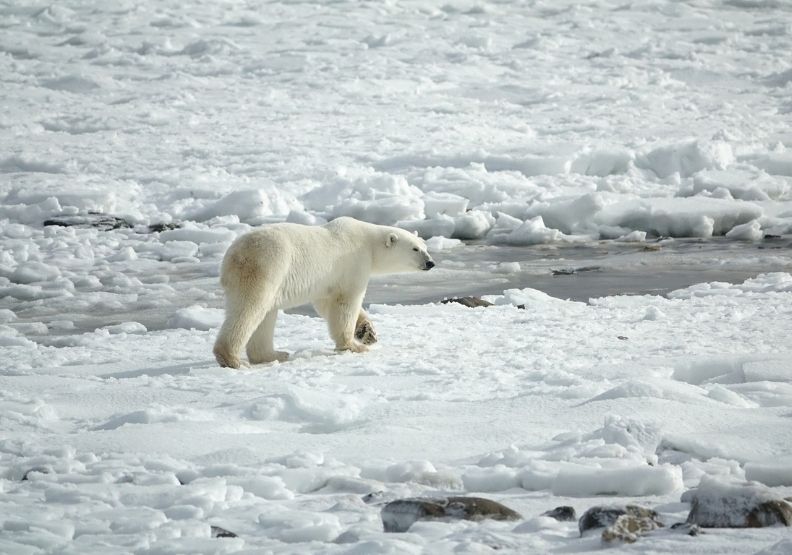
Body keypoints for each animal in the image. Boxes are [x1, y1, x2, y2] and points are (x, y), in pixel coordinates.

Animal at [212, 217, 434, 370]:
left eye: (425, 246)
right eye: (415, 249)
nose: (431, 262)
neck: (368, 242)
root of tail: (232, 256)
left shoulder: (327, 280)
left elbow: (326, 303)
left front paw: (367, 332)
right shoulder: (353, 264)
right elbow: (346, 303)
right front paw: (354, 346)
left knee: (265, 315)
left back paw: (275, 354)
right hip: (266, 266)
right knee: (250, 309)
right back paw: (233, 359)